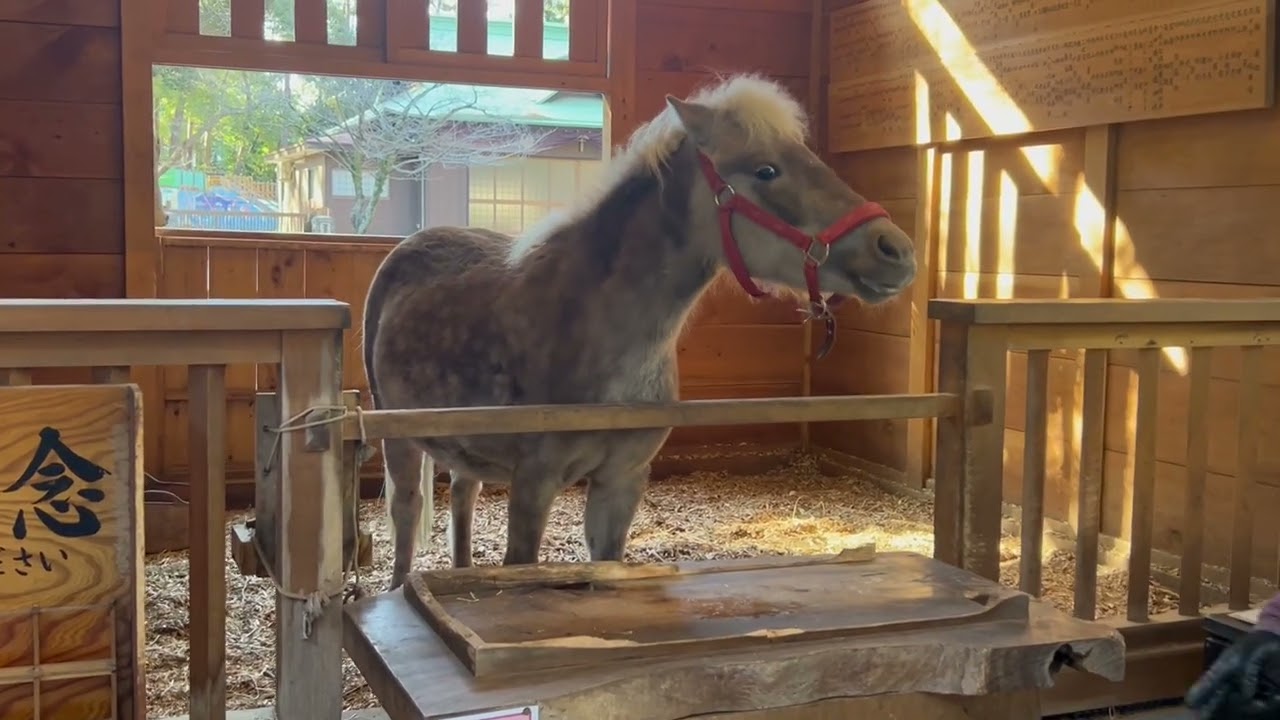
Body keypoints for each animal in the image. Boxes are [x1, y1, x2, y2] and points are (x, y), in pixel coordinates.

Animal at [362, 73, 918, 590]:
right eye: (766, 169)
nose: (896, 249)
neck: (599, 330)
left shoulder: (621, 482)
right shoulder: (533, 484)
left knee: (463, 496)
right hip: (400, 441)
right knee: (407, 515)